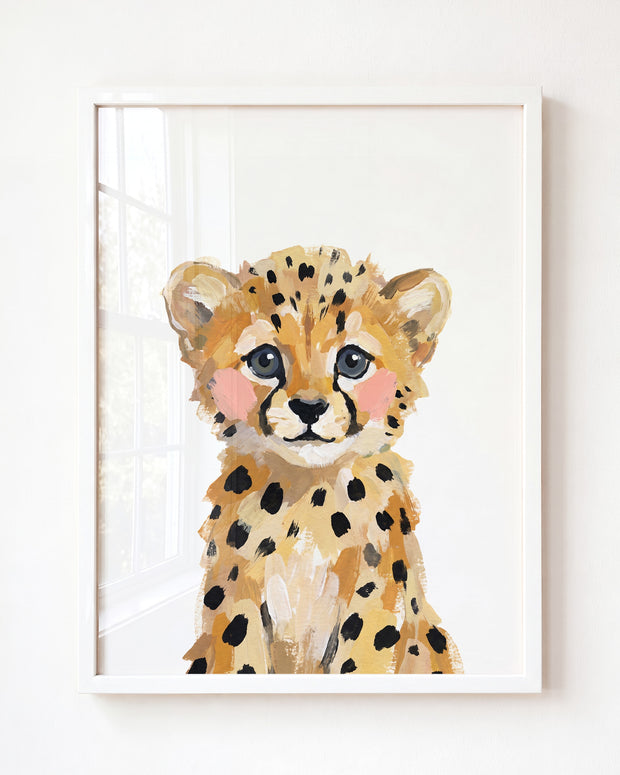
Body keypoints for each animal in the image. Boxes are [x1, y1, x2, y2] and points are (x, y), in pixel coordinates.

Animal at [163, 245, 463, 675]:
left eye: (352, 361)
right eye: (265, 360)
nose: (308, 407)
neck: (308, 496)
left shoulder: (374, 598)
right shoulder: (236, 593)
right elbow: (240, 655)